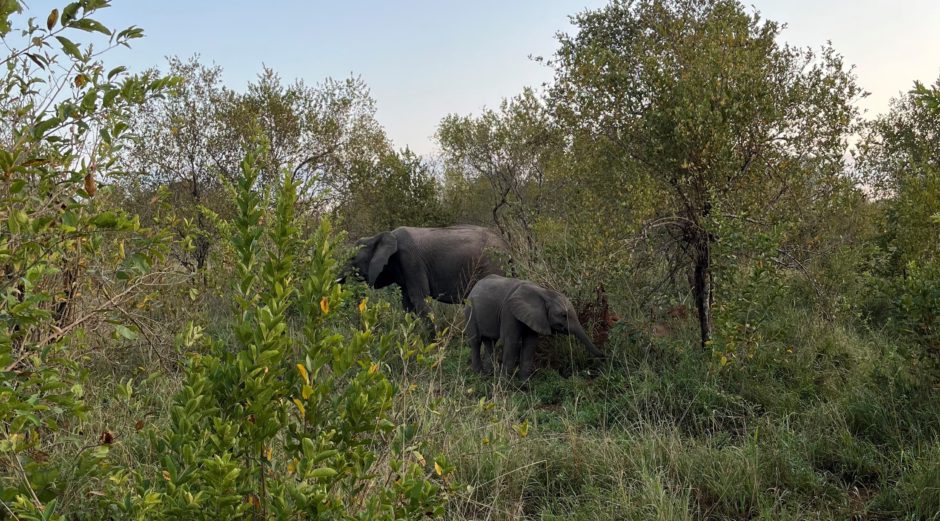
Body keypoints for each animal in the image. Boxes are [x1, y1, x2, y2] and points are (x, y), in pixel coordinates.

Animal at [342, 224, 510, 316]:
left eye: (352, 258)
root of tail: (506, 244)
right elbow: (408, 305)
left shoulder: (411, 261)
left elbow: (420, 301)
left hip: (492, 265)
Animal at [466, 274, 604, 380]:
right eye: (563, 315)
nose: (604, 356)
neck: (544, 293)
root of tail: (474, 287)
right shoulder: (509, 312)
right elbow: (511, 342)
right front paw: (505, 384)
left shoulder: (535, 317)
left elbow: (530, 344)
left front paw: (524, 384)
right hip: (470, 312)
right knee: (476, 340)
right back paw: (479, 374)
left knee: (490, 342)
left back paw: (488, 375)